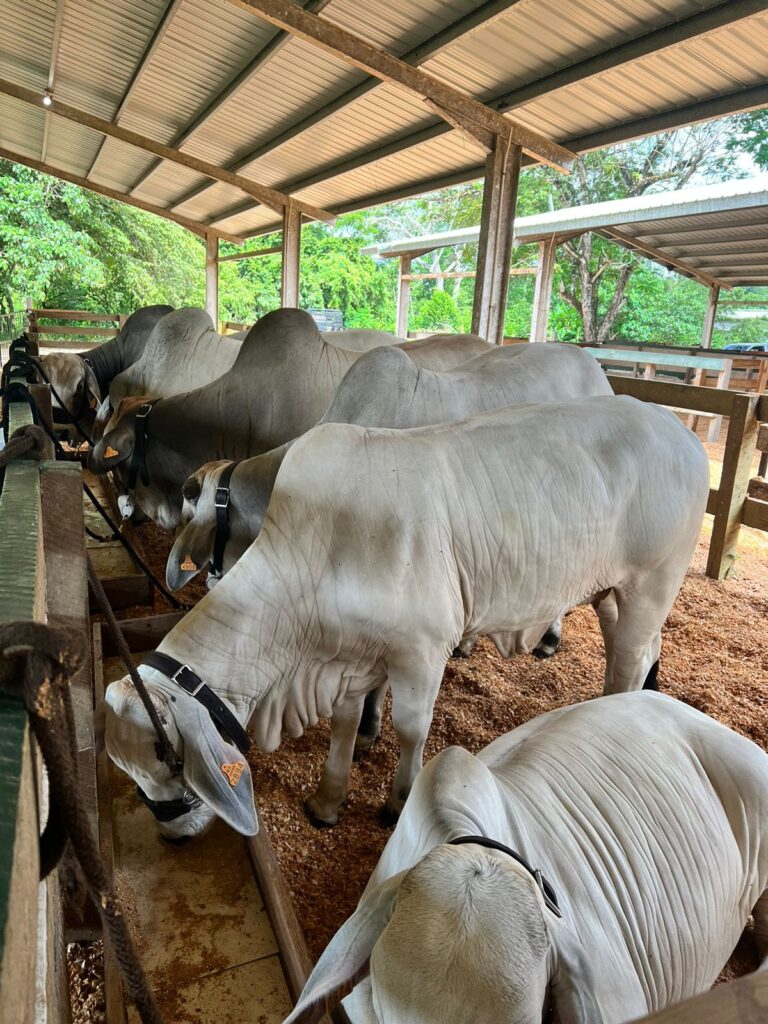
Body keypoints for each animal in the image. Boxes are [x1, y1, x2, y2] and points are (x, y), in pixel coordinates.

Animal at [100, 395, 708, 835]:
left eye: (169, 762)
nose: (172, 832)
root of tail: (681, 430)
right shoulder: (348, 657)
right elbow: (345, 723)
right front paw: (327, 801)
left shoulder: (422, 649)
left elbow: (411, 728)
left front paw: (397, 802)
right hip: (612, 592)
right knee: (641, 654)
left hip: (652, 583)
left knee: (627, 666)